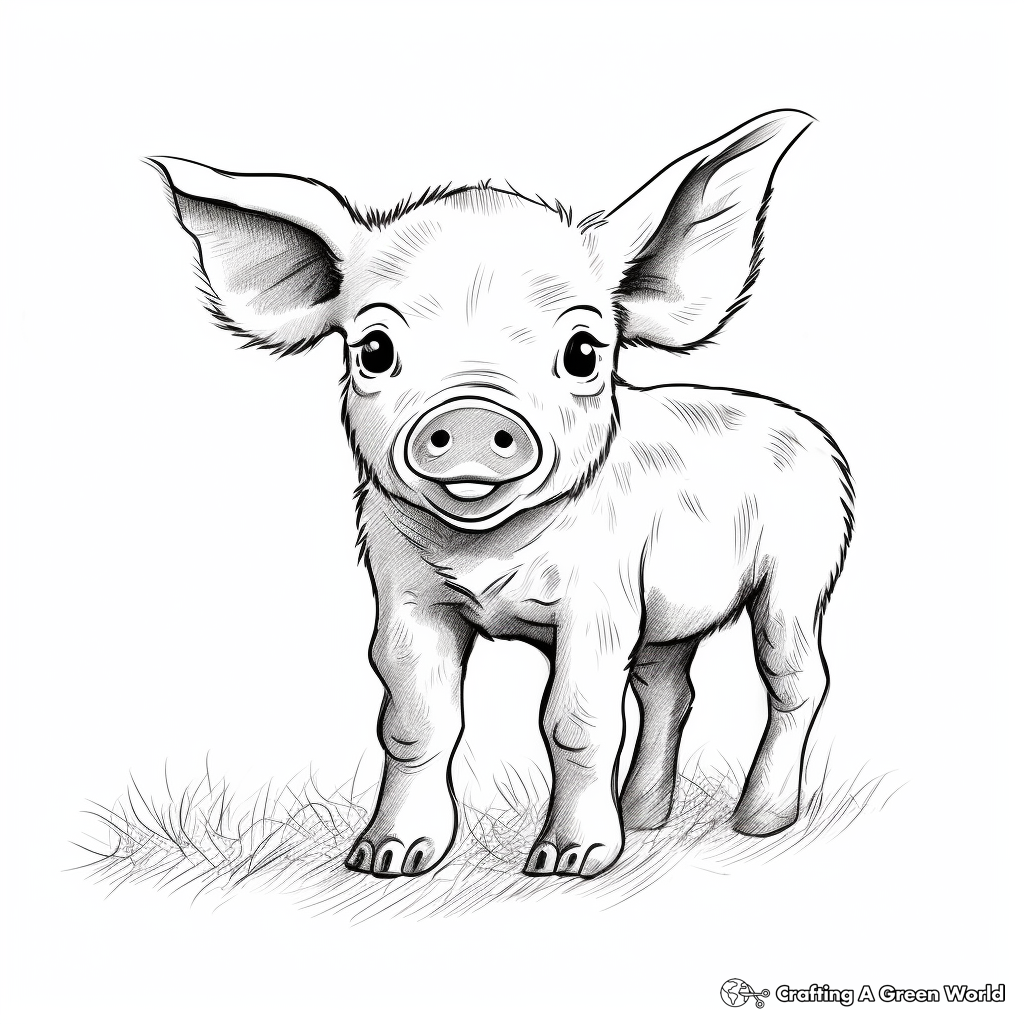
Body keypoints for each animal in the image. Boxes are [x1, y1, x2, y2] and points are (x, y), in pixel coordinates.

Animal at [149, 109, 853, 880]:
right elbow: (415, 721)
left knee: (796, 677)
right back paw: (645, 819)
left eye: (583, 352)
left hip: (802, 570)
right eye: (373, 350)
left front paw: (568, 863)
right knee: (669, 688)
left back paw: (760, 823)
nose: (471, 417)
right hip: (670, 616)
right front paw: (385, 859)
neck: (485, 556)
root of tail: (812, 433)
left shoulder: (599, 596)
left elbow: (575, 719)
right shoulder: (404, 592)